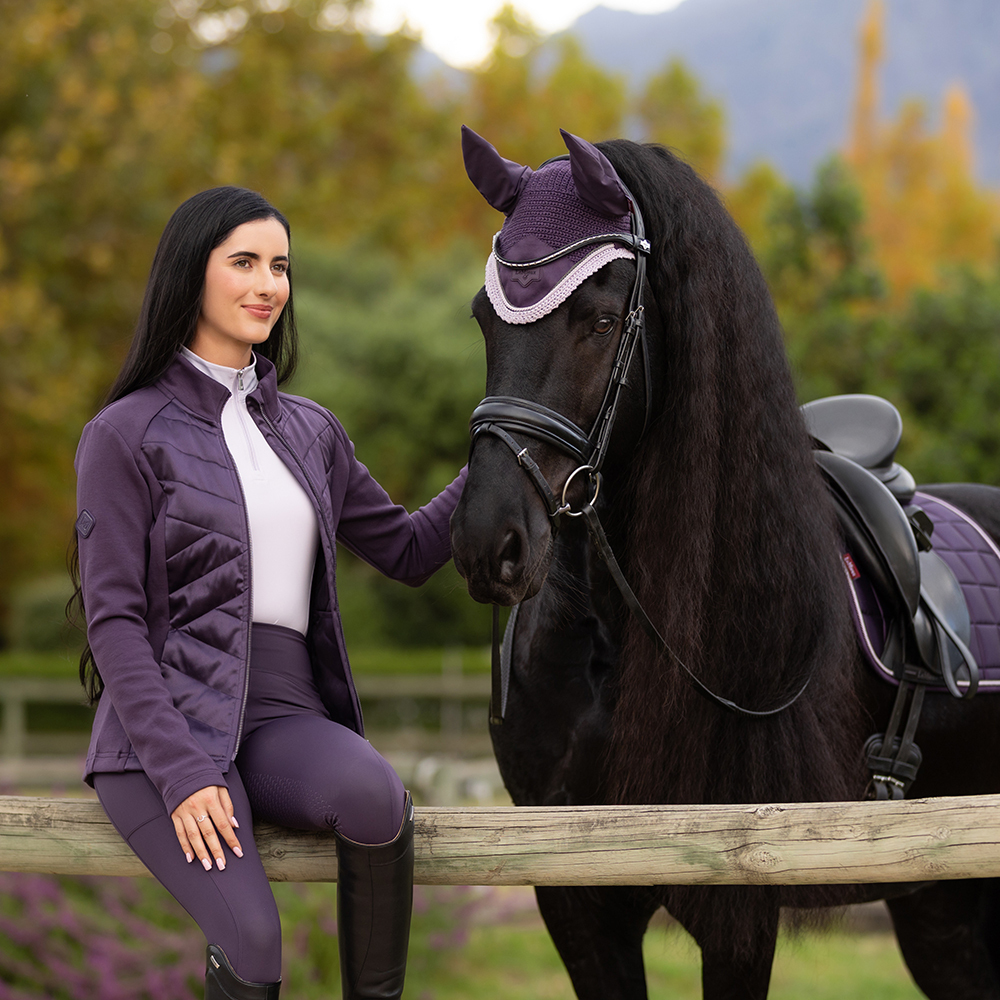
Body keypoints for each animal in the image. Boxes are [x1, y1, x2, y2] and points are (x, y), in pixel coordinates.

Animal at [449, 126, 1000, 1000]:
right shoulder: (575, 899)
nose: (488, 542)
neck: (611, 639)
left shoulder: (740, 896)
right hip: (939, 908)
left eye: (601, 320)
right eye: (483, 317)